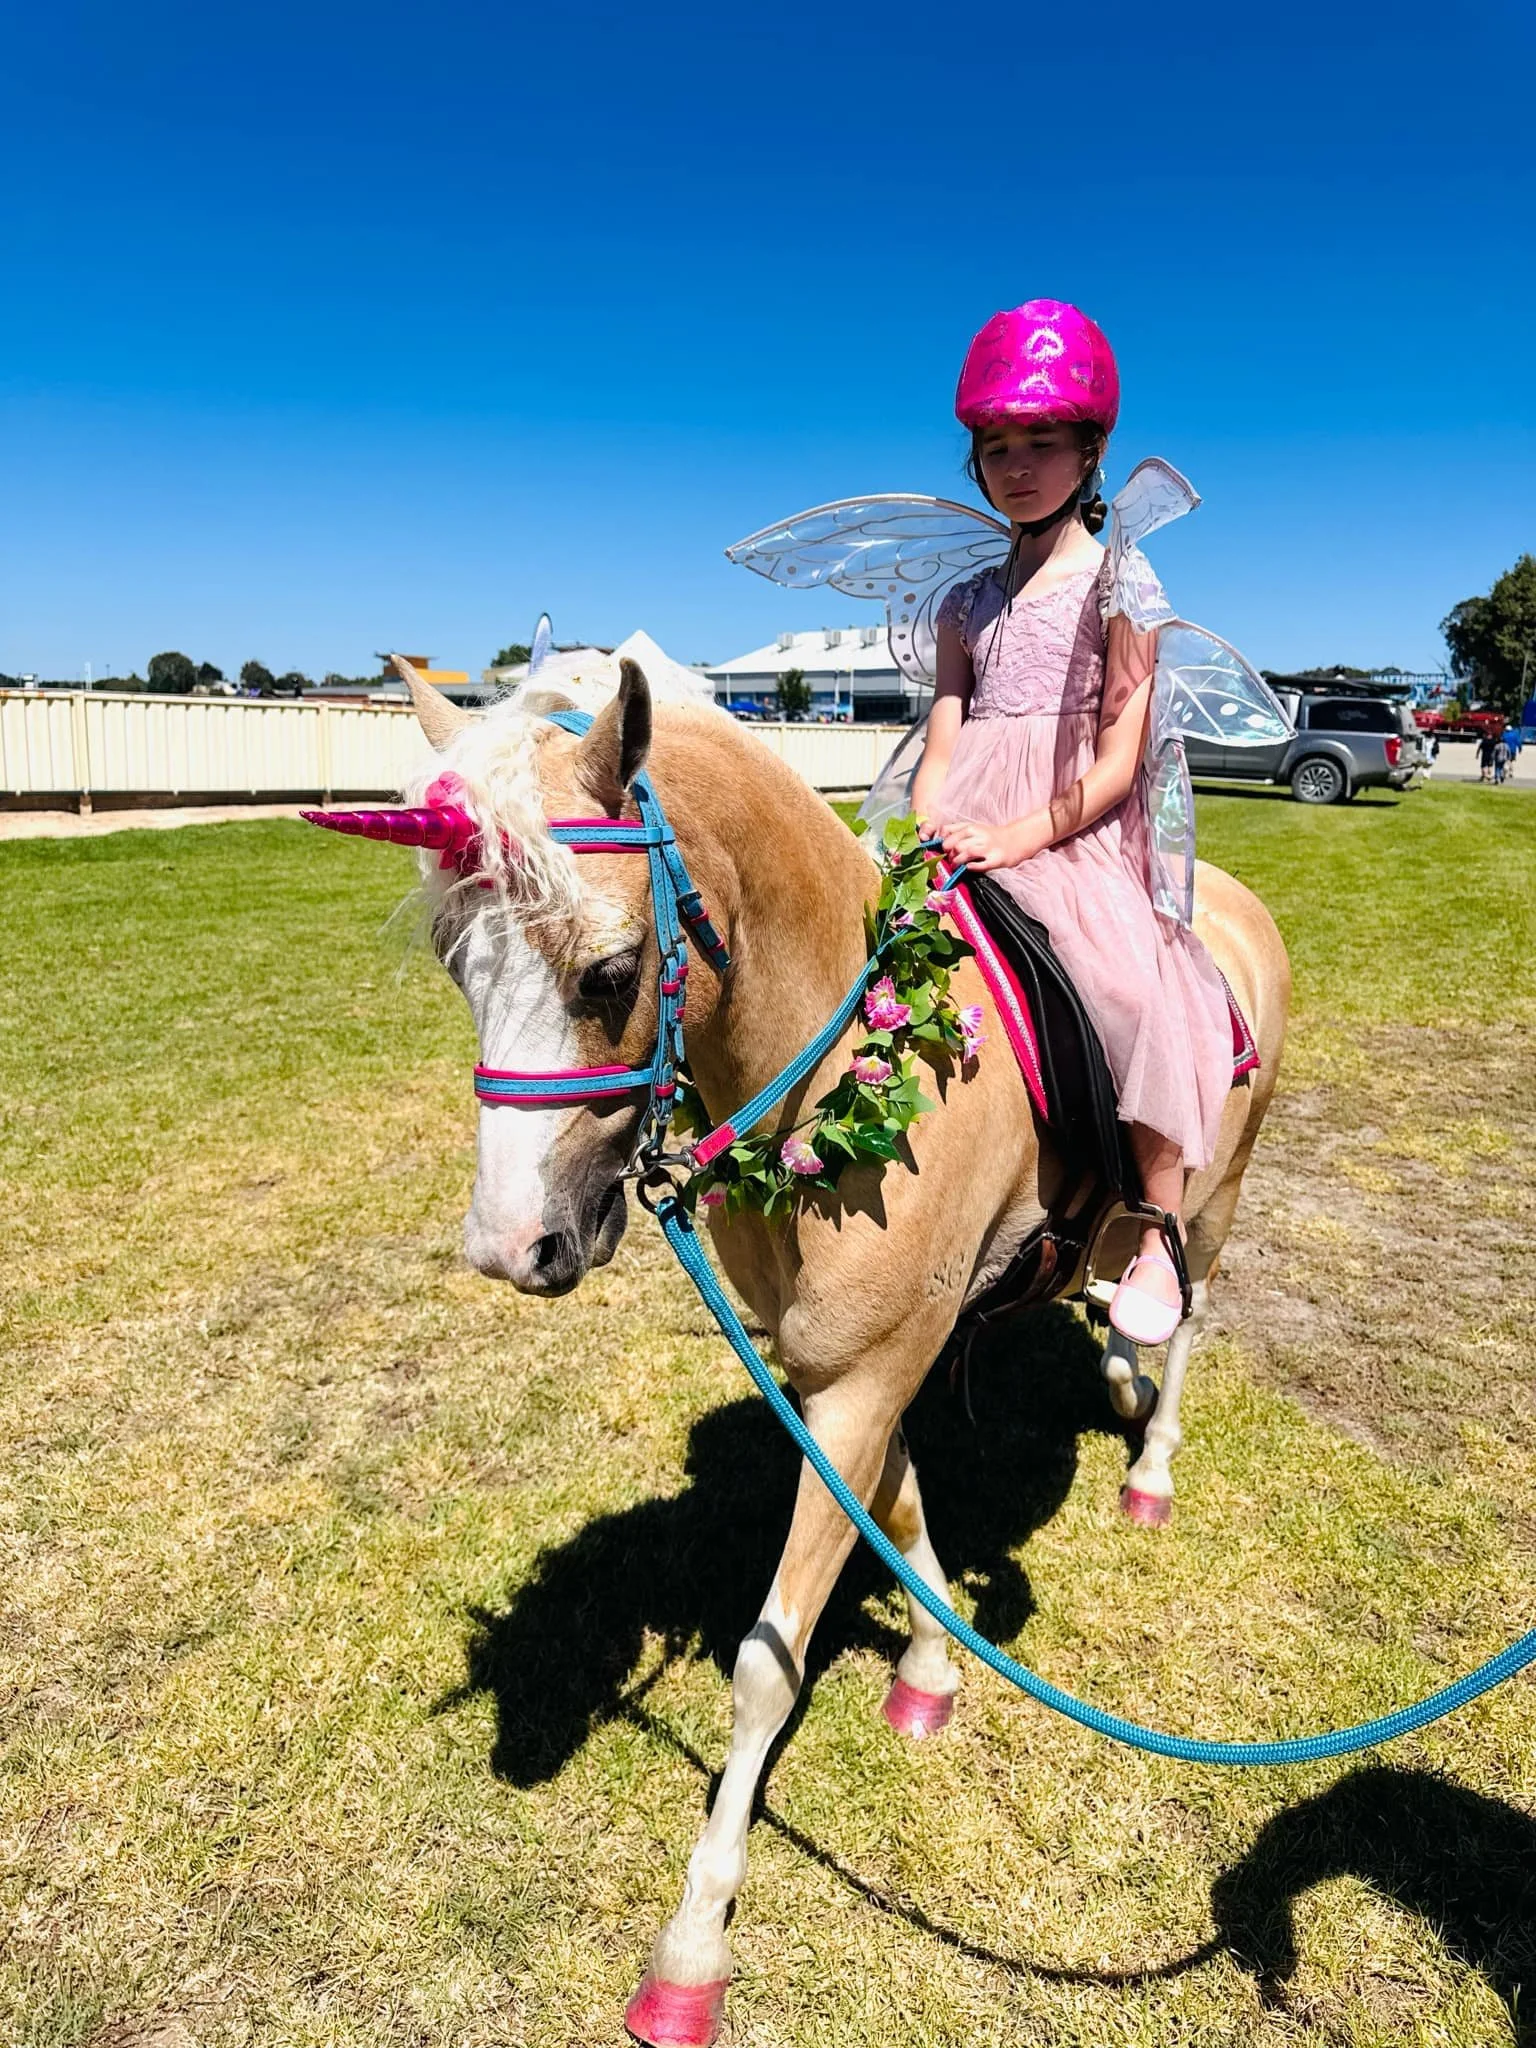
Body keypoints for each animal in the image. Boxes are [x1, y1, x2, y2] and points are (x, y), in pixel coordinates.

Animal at [343, 658, 1290, 2046]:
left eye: (609, 972)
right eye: (458, 964)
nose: (512, 1246)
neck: (842, 1063)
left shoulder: (861, 1382)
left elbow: (764, 1663)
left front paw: (691, 1951)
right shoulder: (840, 1375)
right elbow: (896, 1507)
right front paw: (933, 1664)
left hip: (1216, 1200)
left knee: (1190, 1313)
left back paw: (1152, 1458)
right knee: (1124, 1299)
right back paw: (1119, 1360)